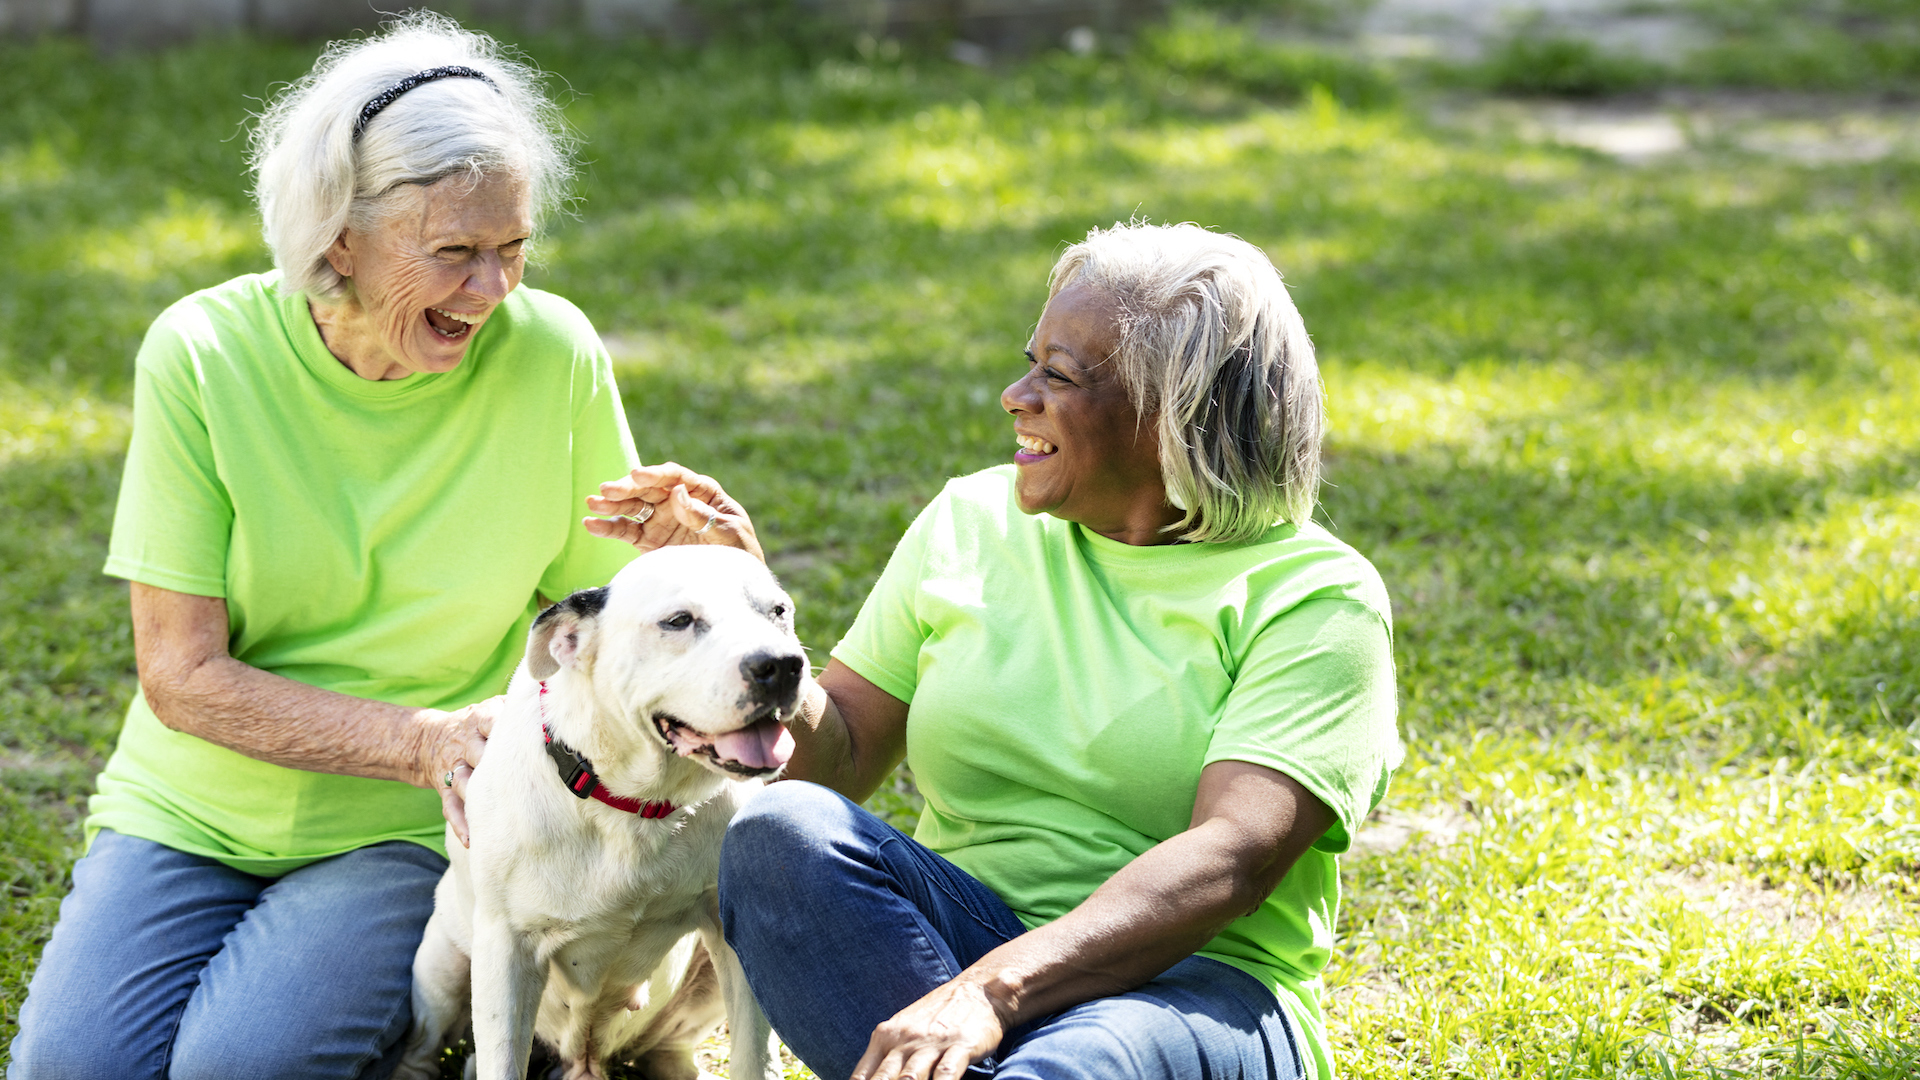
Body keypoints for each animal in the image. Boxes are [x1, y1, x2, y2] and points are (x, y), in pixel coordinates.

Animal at [397, 545, 802, 1076]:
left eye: (778, 612)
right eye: (679, 621)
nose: (783, 665)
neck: (632, 805)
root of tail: (584, 1059)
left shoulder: (732, 939)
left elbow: (755, 1056)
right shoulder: (506, 954)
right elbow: (501, 1060)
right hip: (444, 966)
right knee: (423, 1048)